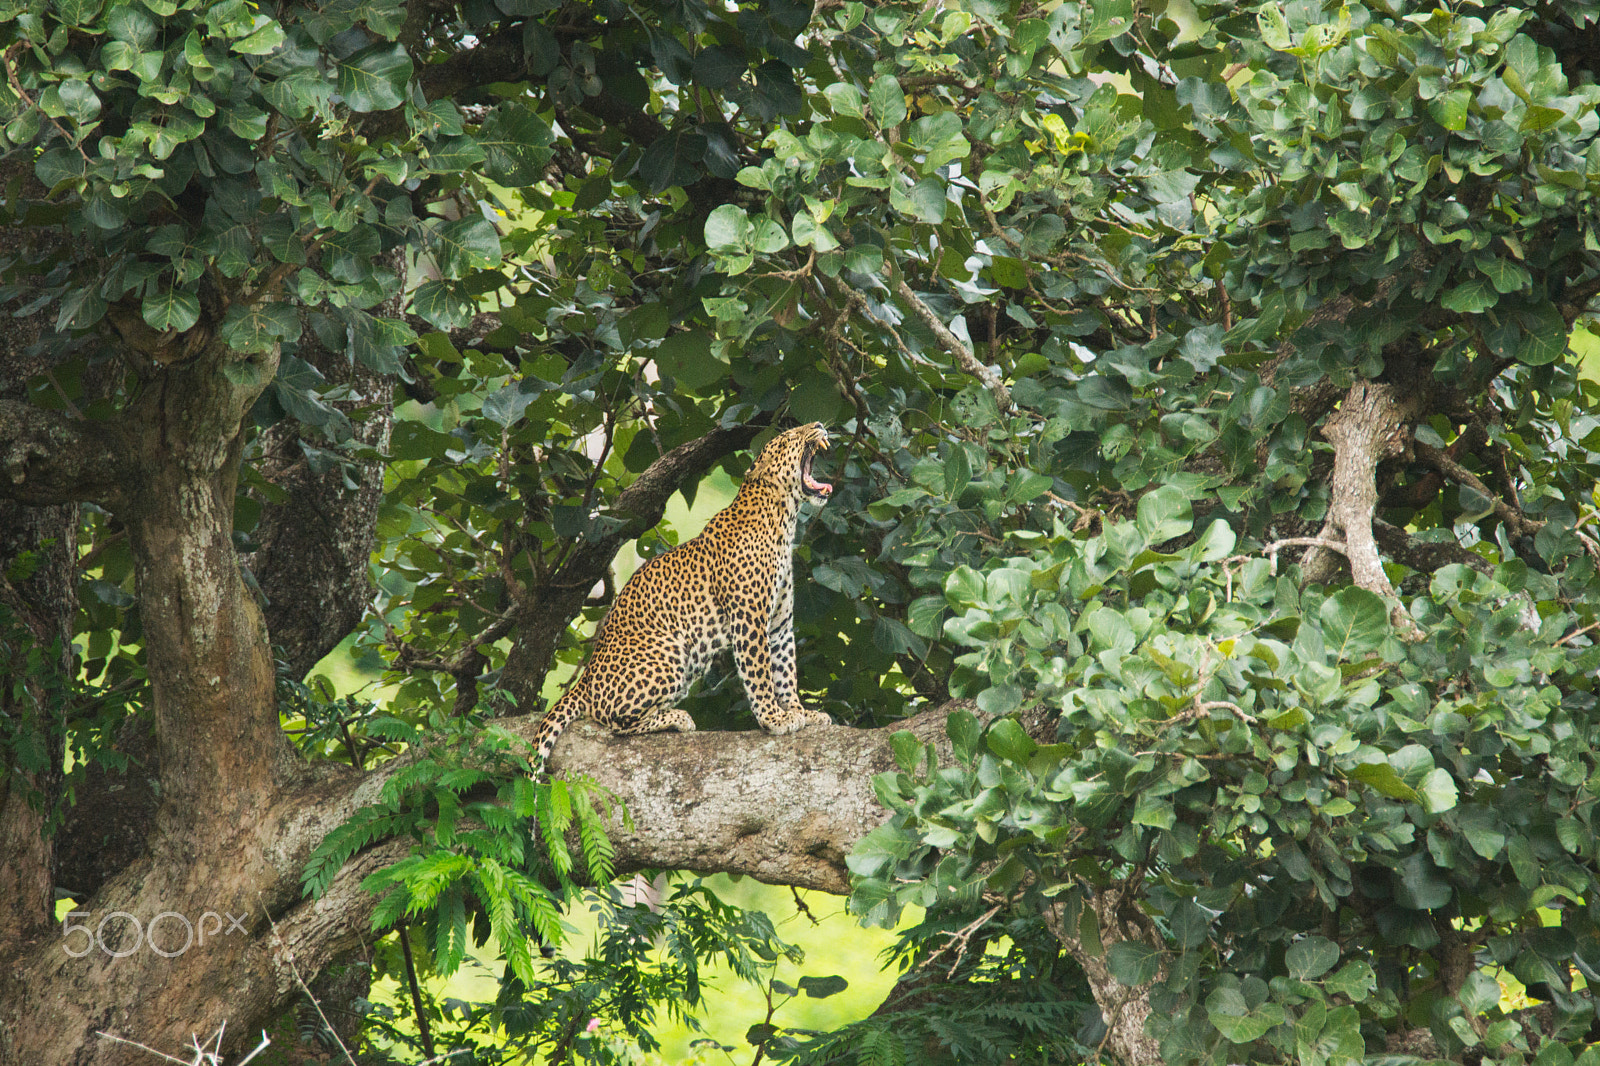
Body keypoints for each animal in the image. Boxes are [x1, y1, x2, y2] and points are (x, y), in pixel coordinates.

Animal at [534, 419, 838, 758]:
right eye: (787, 438)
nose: (819, 424)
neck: (784, 519)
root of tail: (585, 679)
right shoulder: (749, 620)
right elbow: (760, 673)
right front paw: (773, 718)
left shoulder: (779, 624)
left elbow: (786, 671)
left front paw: (800, 711)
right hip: (670, 651)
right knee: (613, 722)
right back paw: (677, 718)